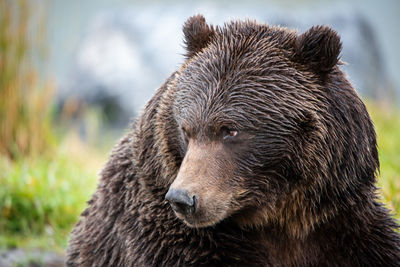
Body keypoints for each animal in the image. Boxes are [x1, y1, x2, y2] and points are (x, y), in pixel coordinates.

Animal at [66, 15, 400, 267]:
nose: (183, 198)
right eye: (186, 129)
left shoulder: (345, 227)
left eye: (230, 130)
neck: (281, 220)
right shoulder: (169, 240)